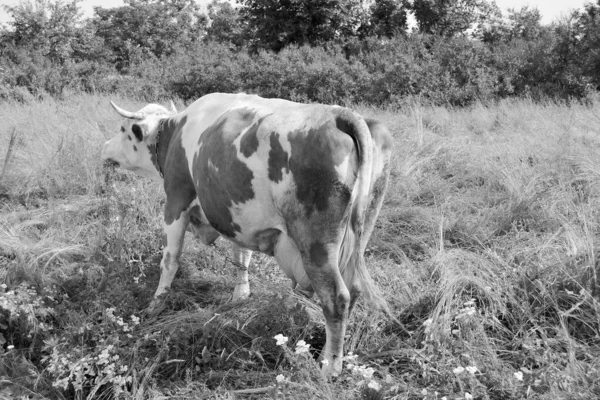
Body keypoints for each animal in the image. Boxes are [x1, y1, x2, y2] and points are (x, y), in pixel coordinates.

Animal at [102, 92, 394, 376]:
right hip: (358, 237)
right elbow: (242, 257)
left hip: (317, 246)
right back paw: (327, 355)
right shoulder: (236, 217)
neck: (173, 134)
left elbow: (170, 259)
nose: (105, 149)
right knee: (354, 289)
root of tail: (338, 115)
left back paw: (329, 368)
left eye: (123, 129)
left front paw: (156, 304)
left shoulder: (176, 199)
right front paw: (240, 296)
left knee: (337, 299)